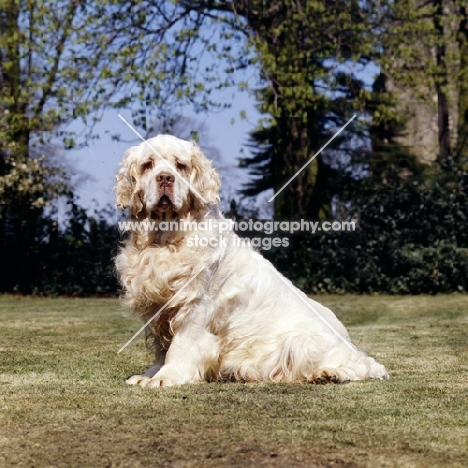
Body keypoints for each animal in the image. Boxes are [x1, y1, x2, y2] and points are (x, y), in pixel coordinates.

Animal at [113, 133, 388, 386]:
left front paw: (167, 376)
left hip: (303, 342)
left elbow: (181, 344)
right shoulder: (158, 307)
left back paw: (330, 373)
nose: (165, 178)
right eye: (148, 164)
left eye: (181, 165)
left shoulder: (195, 305)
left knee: (362, 366)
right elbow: (162, 348)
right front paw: (150, 374)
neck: (165, 238)